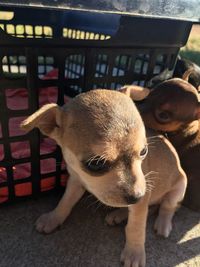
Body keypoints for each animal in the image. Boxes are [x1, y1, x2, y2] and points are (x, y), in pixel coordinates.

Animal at [21, 89, 187, 267]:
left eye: (144, 151)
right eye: (96, 163)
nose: (137, 197)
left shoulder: (143, 197)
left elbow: (136, 226)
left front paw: (134, 253)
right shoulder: (75, 182)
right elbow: (65, 201)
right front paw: (53, 218)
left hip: (179, 189)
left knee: (168, 207)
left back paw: (163, 223)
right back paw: (119, 215)